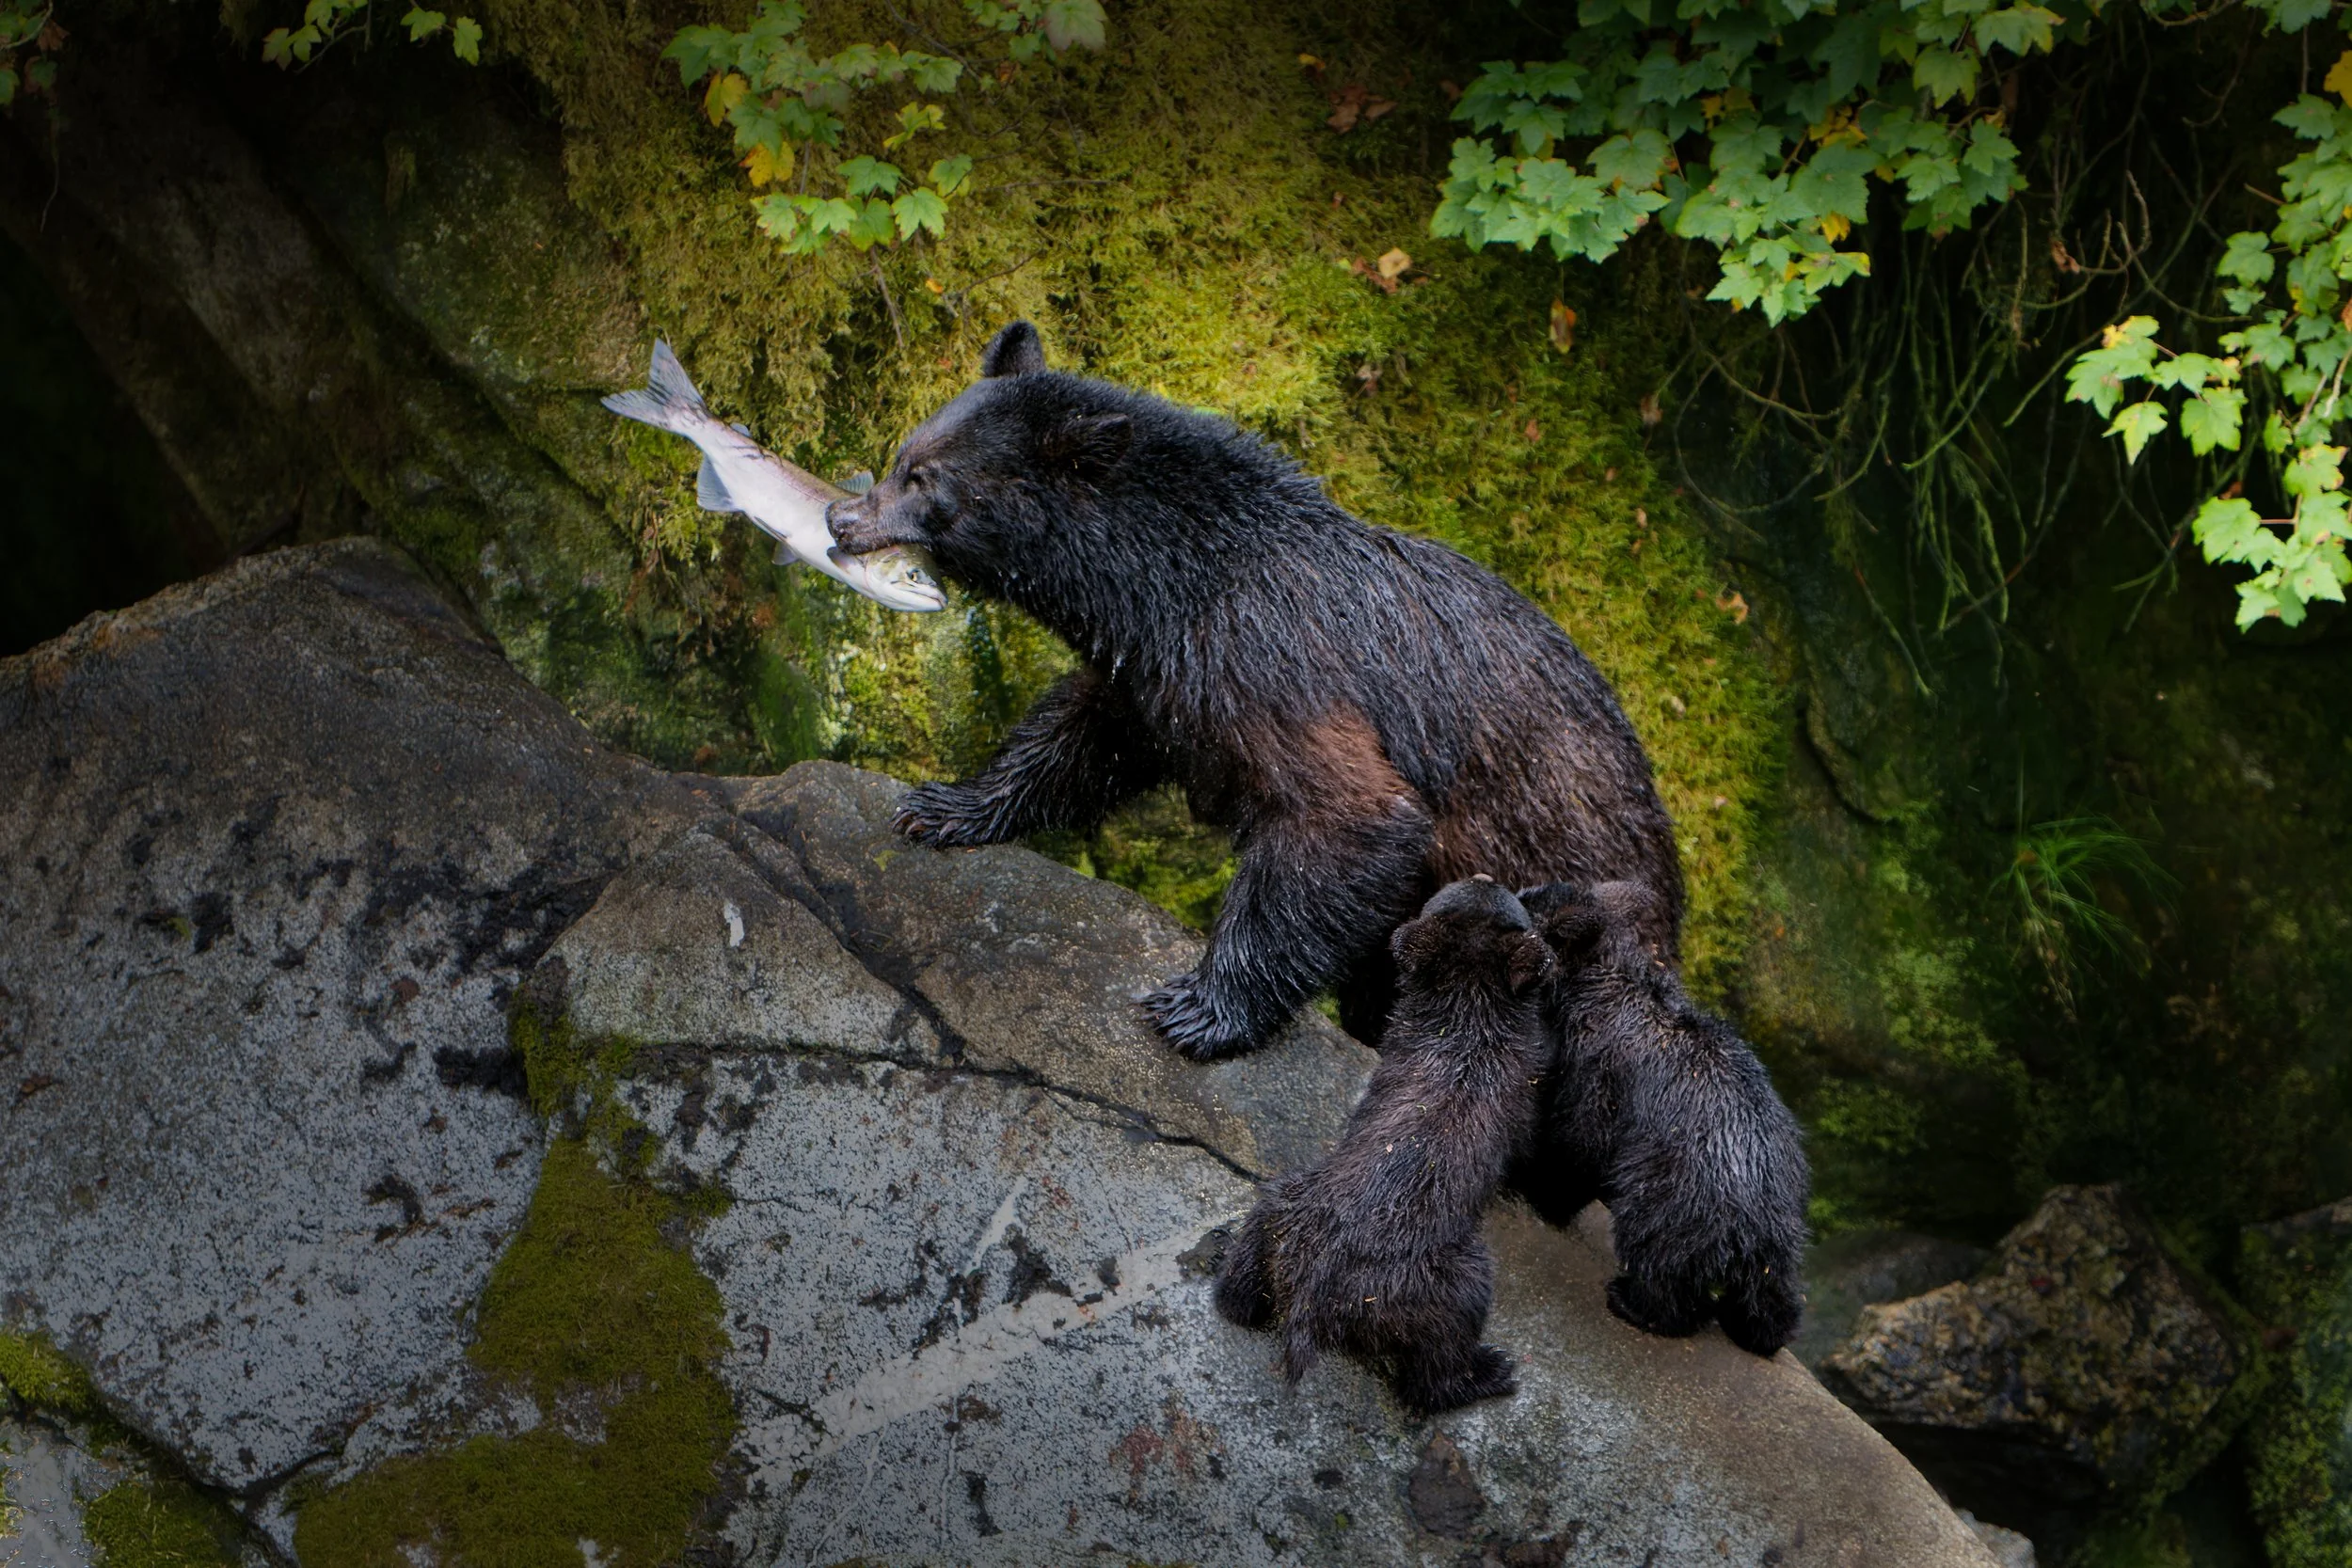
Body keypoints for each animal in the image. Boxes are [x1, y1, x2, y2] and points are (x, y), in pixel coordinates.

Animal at [825, 319, 1681, 1060]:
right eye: (903, 451)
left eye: (925, 478)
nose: (840, 517)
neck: (1179, 581)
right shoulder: (1156, 678)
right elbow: (1076, 738)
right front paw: (946, 805)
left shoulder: (1276, 662)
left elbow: (1352, 818)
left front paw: (1200, 1007)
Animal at [1211, 877, 1555, 1415]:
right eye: (1505, 899)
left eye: (1468, 895)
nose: (1483, 877)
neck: (1463, 1036)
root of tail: (1314, 1287)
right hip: (1463, 1279)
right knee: (1431, 1379)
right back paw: (1491, 1373)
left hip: (1277, 1202)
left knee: (1238, 1297)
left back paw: (1220, 1253)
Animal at [1514, 878, 1809, 1356]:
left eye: (1522, 905)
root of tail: (1757, 1224)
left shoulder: (1599, 1066)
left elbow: (1578, 1139)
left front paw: (1541, 1188)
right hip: (1786, 1215)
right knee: (1771, 1295)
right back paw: (1761, 1328)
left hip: (1674, 1193)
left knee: (1660, 1256)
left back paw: (1635, 1302)